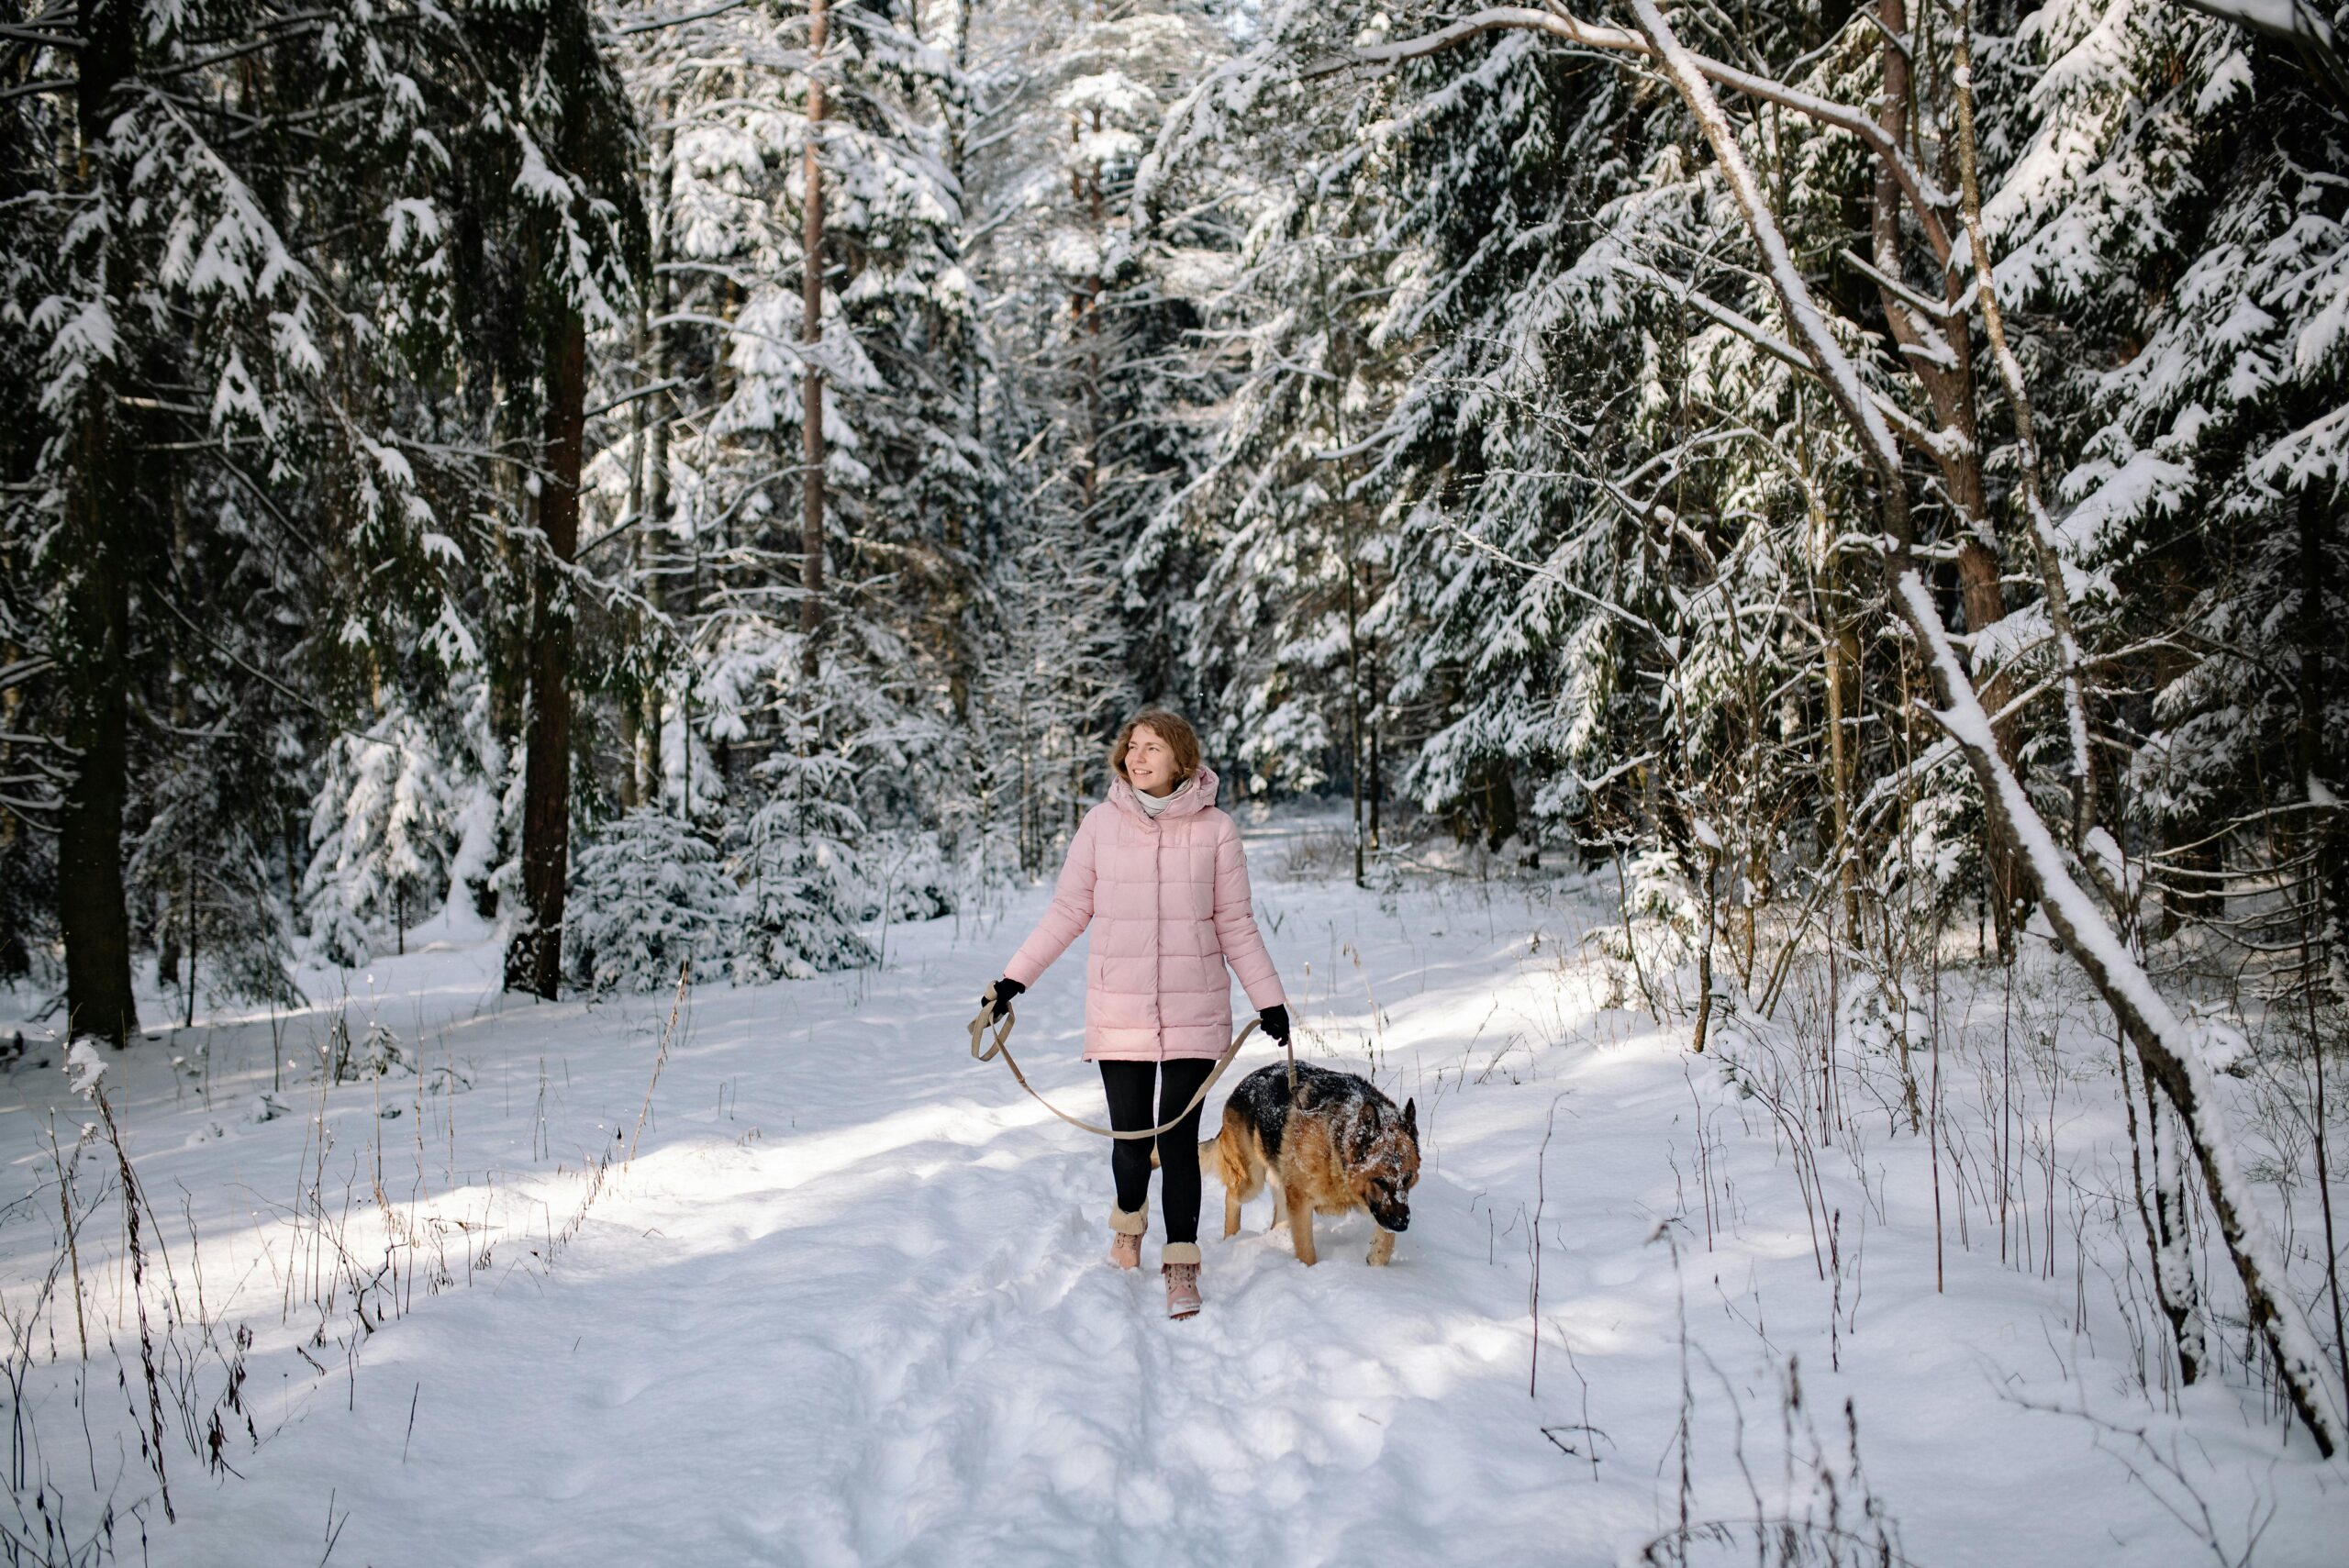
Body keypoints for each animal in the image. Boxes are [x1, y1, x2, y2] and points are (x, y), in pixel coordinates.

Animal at [1202, 1061, 1419, 1267]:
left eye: (1407, 1179)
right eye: (1379, 1181)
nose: (1402, 1224)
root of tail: (1241, 1085)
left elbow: (1386, 1241)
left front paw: (1377, 1261)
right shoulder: (1301, 1203)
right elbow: (1306, 1252)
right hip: (1251, 1182)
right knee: (1232, 1197)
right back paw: (1231, 1238)